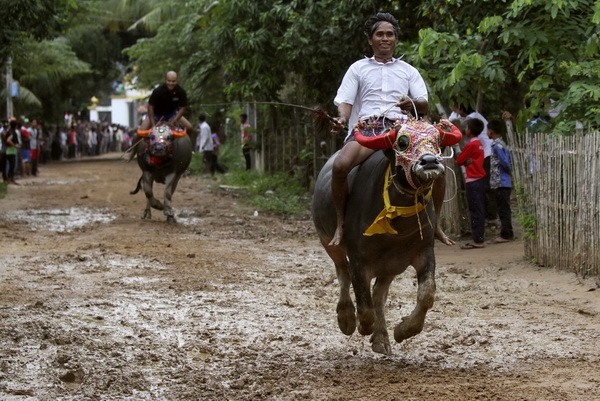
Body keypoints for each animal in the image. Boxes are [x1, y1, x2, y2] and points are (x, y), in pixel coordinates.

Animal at [312, 119, 462, 354]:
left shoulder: (423, 252)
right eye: (402, 142)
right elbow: (364, 307)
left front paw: (404, 330)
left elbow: (427, 294)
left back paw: (381, 338)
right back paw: (346, 318)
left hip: (391, 266)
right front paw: (362, 326)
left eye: (437, 140)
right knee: (343, 273)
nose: (429, 161)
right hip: (328, 241)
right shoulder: (358, 259)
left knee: (378, 295)